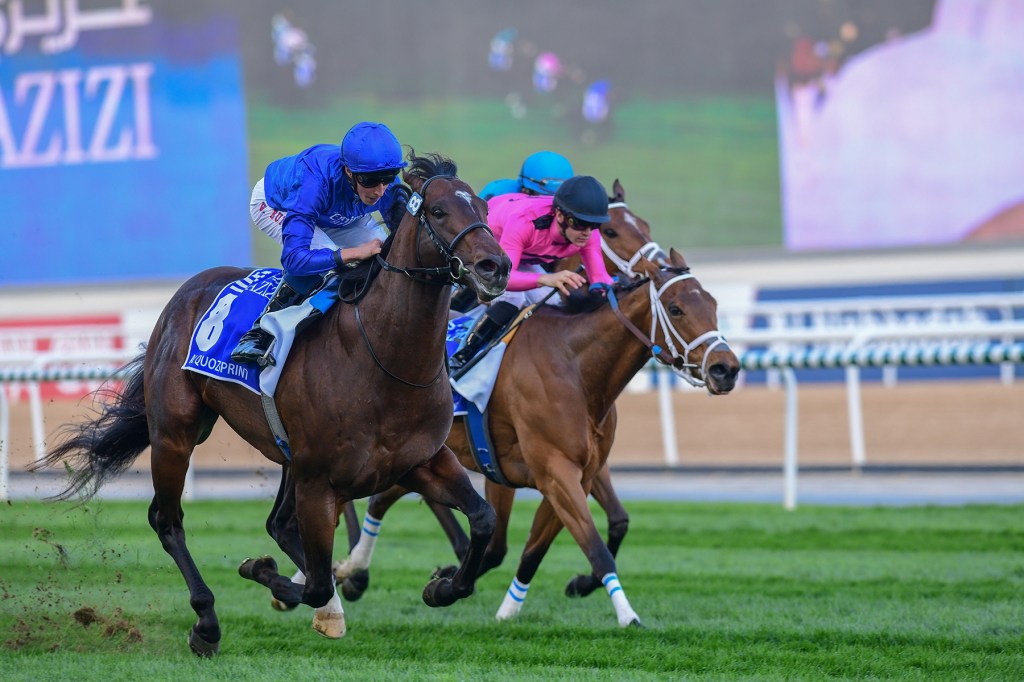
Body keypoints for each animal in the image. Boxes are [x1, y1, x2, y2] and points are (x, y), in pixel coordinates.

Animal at [30, 151, 512, 656]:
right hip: (176, 433)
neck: (384, 361)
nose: (495, 266)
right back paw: (207, 622)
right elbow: (314, 582)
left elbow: (482, 519)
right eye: (437, 211)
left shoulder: (421, 461)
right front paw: (264, 572)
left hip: (286, 455)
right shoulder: (318, 480)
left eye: (482, 207)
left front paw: (441, 586)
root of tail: (187, 291)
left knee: (277, 526)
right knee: (168, 519)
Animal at [336, 249, 740, 627]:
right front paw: (628, 615)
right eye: (675, 308)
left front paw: (506, 607)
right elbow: (595, 548)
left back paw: (354, 569)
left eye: (714, 305)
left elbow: (534, 550)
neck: (576, 368)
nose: (727, 369)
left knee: (384, 498)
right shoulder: (555, 472)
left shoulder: (575, 473)